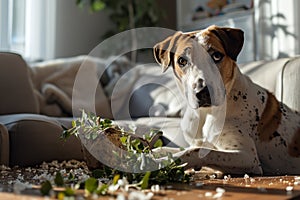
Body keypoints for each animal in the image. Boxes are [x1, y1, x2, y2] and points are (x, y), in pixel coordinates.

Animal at [154, 25, 298, 175]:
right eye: (182, 61)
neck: (205, 113)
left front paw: (159, 163)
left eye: (216, 56)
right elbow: (164, 149)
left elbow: (195, 151)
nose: (202, 92)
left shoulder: (248, 157)